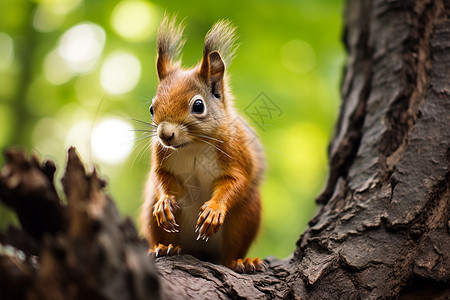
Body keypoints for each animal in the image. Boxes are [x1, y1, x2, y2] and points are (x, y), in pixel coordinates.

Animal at [141, 17, 266, 274]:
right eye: (151, 108)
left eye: (198, 106)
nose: (165, 135)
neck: (192, 145)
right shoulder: (161, 154)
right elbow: (160, 176)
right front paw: (165, 202)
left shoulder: (235, 151)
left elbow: (237, 181)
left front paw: (214, 209)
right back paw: (164, 248)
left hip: (246, 215)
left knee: (231, 251)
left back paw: (241, 262)